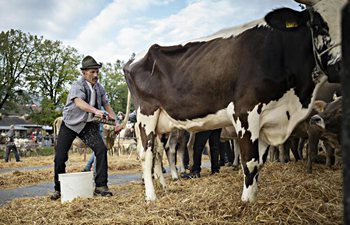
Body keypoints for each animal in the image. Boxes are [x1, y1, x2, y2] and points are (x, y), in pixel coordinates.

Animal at [122, 0, 344, 202]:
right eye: (318, 24)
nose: (340, 66)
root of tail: (134, 58)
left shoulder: (268, 118)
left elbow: (260, 163)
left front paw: (253, 201)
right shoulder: (245, 112)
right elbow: (251, 162)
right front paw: (245, 203)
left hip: (161, 122)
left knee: (156, 152)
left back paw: (164, 186)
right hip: (147, 114)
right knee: (148, 154)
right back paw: (151, 196)